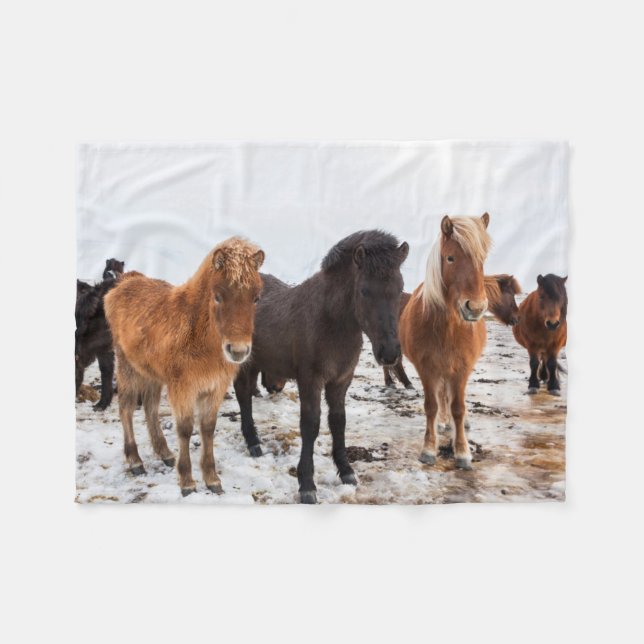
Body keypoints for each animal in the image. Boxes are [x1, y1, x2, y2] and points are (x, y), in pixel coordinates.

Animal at [104, 238, 264, 496]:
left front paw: (212, 479)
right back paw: (135, 461)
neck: (198, 333)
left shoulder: (215, 387)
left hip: (152, 373)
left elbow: (207, 428)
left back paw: (165, 453)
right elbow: (186, 429)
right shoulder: (183, 388)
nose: (238, 351)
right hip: (127, 366)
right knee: (126, 408)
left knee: (150, 407)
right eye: (218, 296)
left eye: (256, 298)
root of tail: (126, 281)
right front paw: (187, 481)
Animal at [233, 230, 409, 504]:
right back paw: (253, 443)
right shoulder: (310, 379)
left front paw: (346, 471)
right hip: (244, 363)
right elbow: (311, 425)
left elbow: (338, 421)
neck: (331, 321)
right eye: (365, 291)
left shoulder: (341, 380)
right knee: (243, 396)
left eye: (399, 289)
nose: (389, 353)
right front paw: (307, 484)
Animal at [399, 213, 491, 469]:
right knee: (442, 398)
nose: (475, 308)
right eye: (450, 258)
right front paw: (429, 449)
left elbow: (458, 408)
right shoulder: (427, 369)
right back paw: (443, 421)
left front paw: (462, 452)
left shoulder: (461, 369)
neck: (448, 330)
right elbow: (431, 406)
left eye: (482, 259)